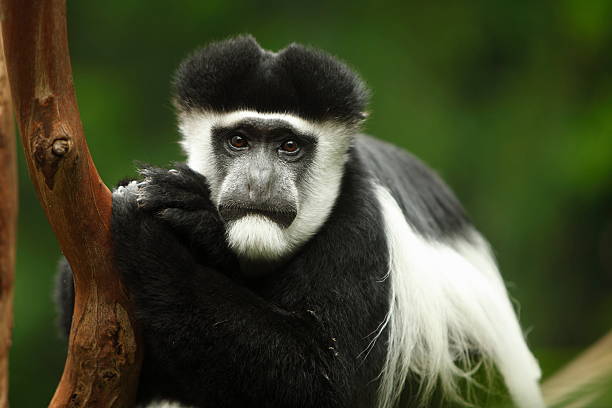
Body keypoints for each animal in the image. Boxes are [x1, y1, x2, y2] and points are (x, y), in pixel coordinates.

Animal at [56, 35, 544, 408]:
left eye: (289, 146)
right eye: (239, 140)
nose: (259, 181)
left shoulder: (361, 235)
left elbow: (324, 382)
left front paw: (154, 236)